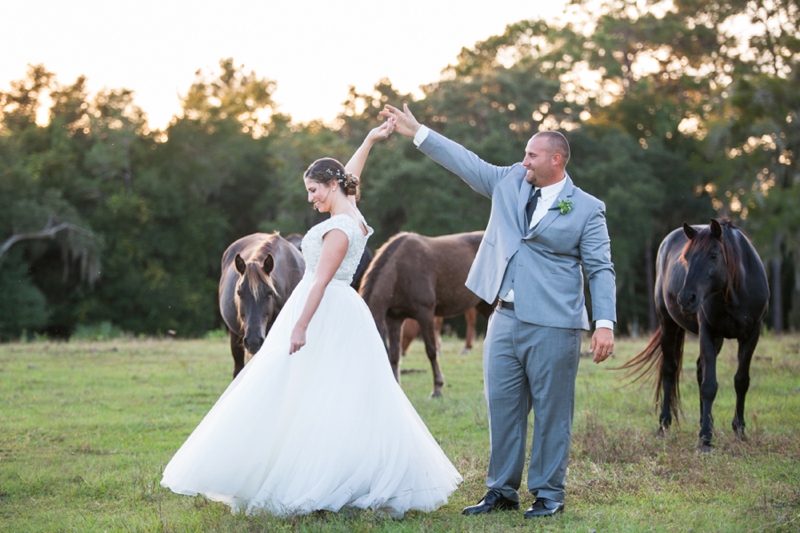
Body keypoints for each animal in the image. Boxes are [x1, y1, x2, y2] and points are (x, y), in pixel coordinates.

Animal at [360, 231, 490, 396]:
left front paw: (437, 388)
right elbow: (394, 355)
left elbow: (431, 350)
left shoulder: (425, 313)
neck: (398, 270)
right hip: (484, 305)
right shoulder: (393, 319)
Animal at [620, 219, 772, 448]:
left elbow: (741, 381)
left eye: (714, 255)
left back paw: (704, 421)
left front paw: (739, 431)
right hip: (669, 324)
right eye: (687, 257)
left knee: (700, 369)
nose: (686, 299)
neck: (735, 290)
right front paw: (706, 440)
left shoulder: (751, 333)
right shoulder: (708, 330)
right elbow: (709, 385)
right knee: (669, 369)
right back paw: (664, 425)